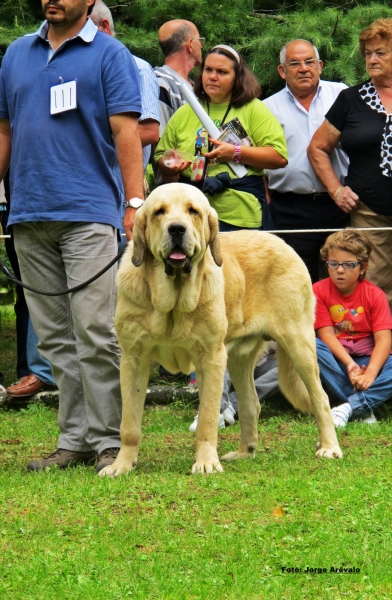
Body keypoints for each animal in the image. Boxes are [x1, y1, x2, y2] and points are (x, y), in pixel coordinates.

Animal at [101, 184, 344, 478]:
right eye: (160, 212)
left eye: (193, 211)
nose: (177, 229)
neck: (172, 301)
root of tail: (283, 243)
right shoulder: (133, 359)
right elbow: (129, 423)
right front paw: (122, 465)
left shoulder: (211, 358)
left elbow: (207, 417)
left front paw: (206, 462)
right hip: (240, 359)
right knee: (252, 404)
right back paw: (244, 453)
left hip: (299, 344)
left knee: (320, 398)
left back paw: (329, 447)